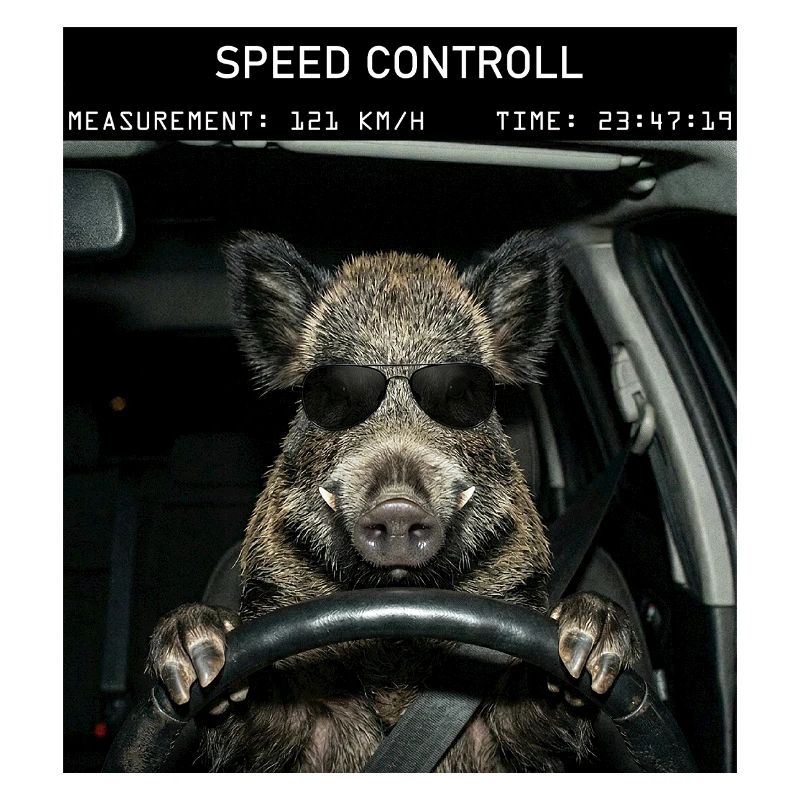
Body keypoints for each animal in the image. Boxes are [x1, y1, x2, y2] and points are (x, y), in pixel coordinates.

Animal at [146, 230, 640, 772]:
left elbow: (539, 718)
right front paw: (196, 653)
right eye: (334, 393)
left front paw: (587, 645)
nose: (398, 506)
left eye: (462, 392)